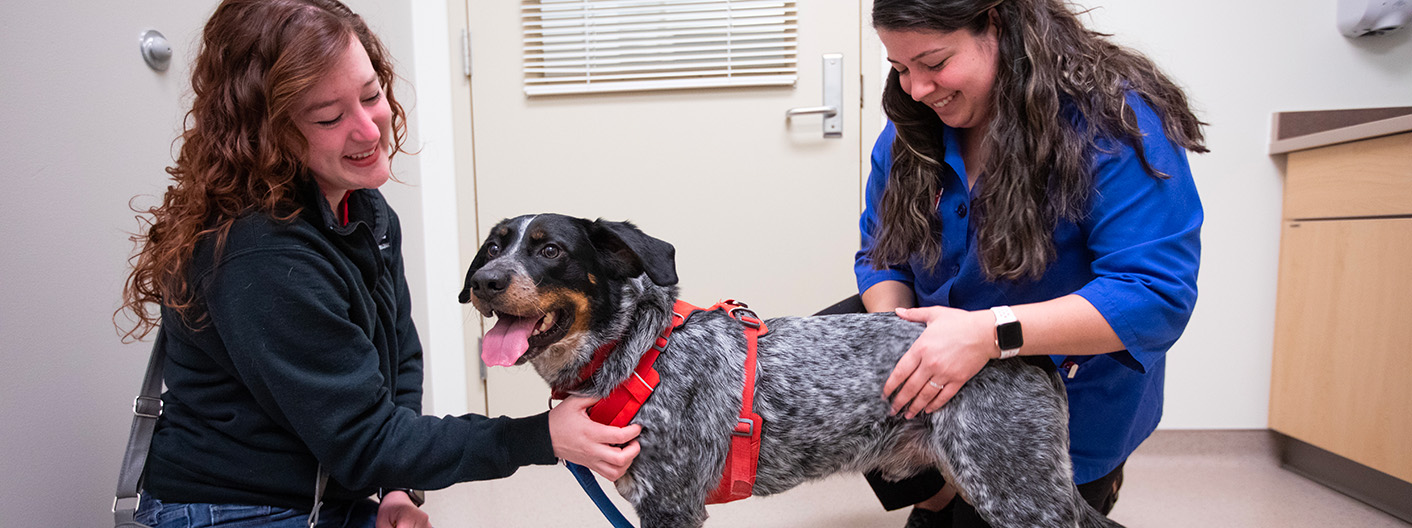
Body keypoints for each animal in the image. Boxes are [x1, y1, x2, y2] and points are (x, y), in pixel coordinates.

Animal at [463, 213, 1123, 528]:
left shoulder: (671, 508)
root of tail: (1020, 348)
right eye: (493, 247)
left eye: (551, 250)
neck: (636, 352)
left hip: (1019, 494)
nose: (484, 282)